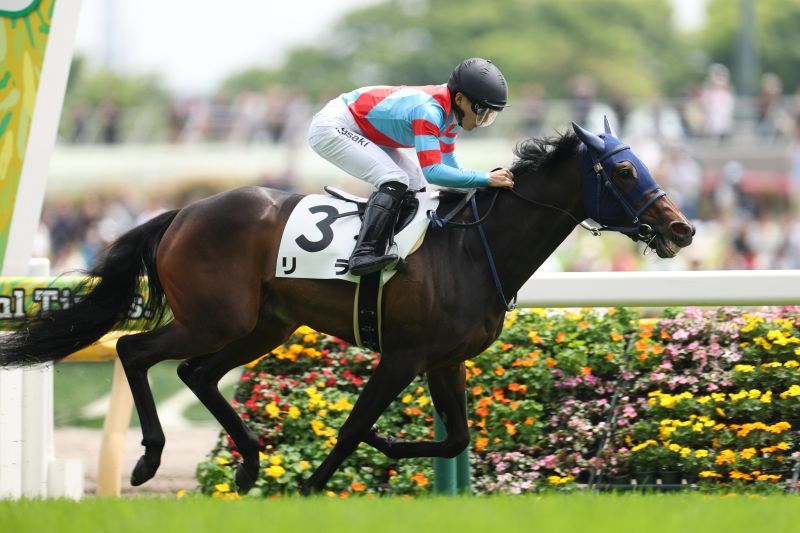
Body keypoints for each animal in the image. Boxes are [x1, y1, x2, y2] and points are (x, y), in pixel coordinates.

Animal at [0, 120, 694, 494]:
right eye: (624, 172)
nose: (682, 229)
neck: (472, 248)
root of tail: (183, 212)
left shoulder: (446, 361)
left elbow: (456, 437)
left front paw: (386, 446)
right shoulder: (405, 355)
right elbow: (356, 425)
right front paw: (313, 484)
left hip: (266, 324)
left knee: (196, 372)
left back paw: (249, 463)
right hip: (213, 317)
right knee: (134, 349)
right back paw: (149, 460)